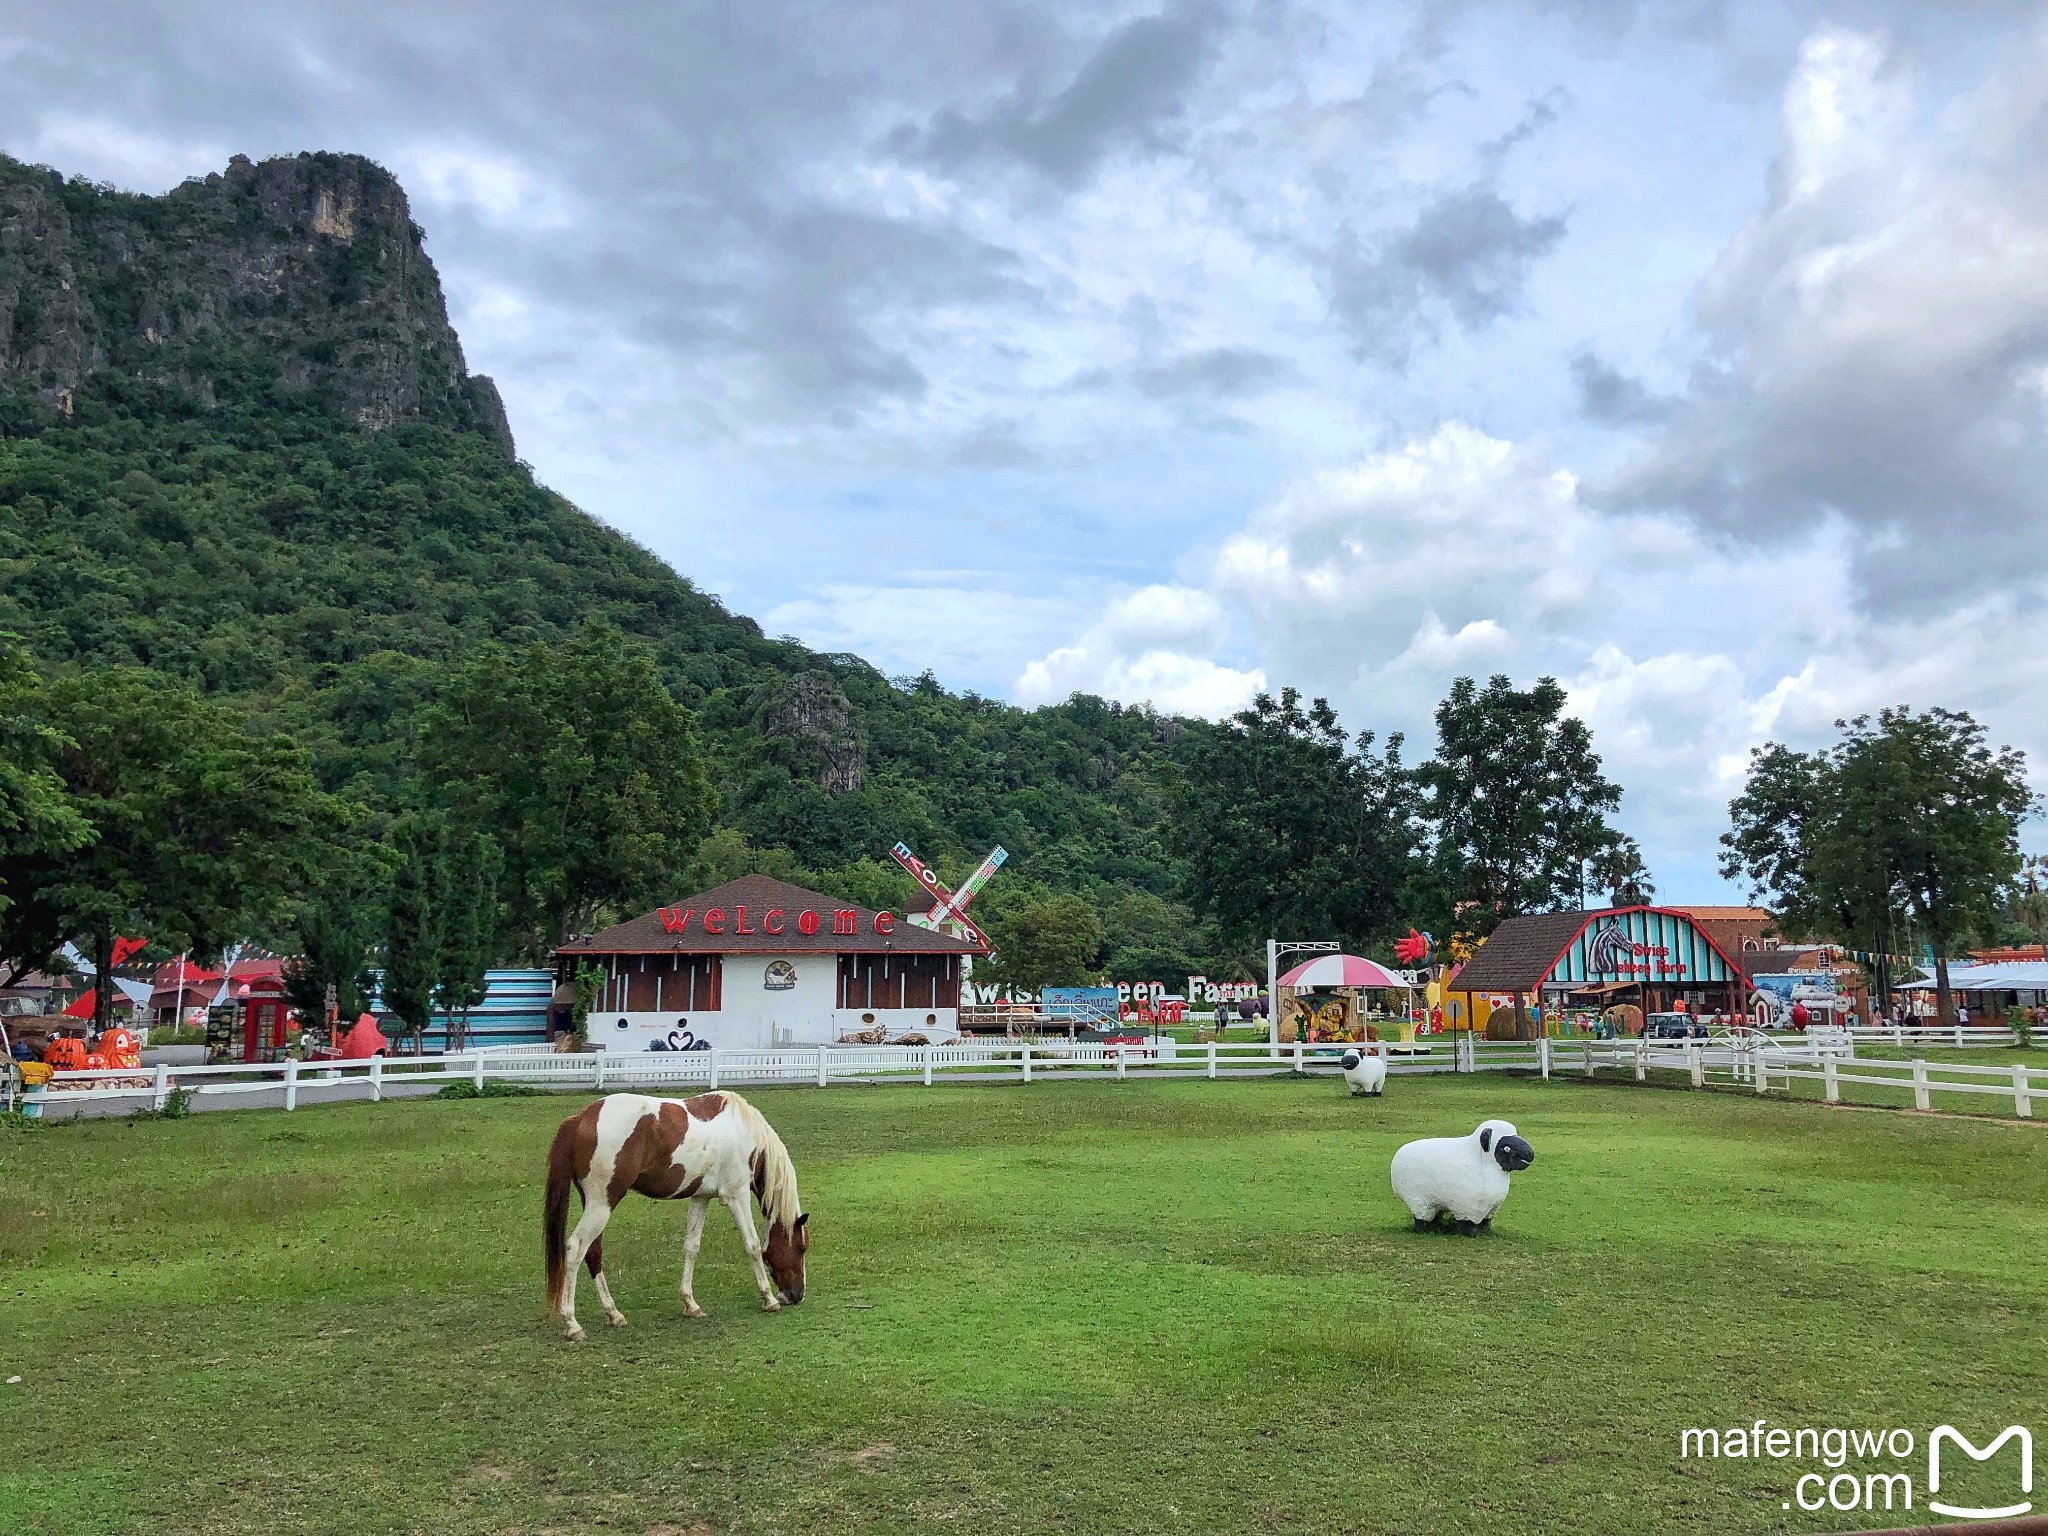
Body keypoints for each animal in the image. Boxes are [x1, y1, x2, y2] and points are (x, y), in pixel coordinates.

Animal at [544, 1089, 806, 1343]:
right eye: (802, 1248)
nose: (798, 1295)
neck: (744, 1132)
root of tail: (580, 1118)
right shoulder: (737, 1195)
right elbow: (752, 1245)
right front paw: (769, 1299)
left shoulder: (700, 1197)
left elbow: (691, 1246)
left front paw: (691, 1304)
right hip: (601, 1205)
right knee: (575, 1248)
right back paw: (572, 1324)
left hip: (594, 1205)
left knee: (593, 1252)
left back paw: (613, 1313)